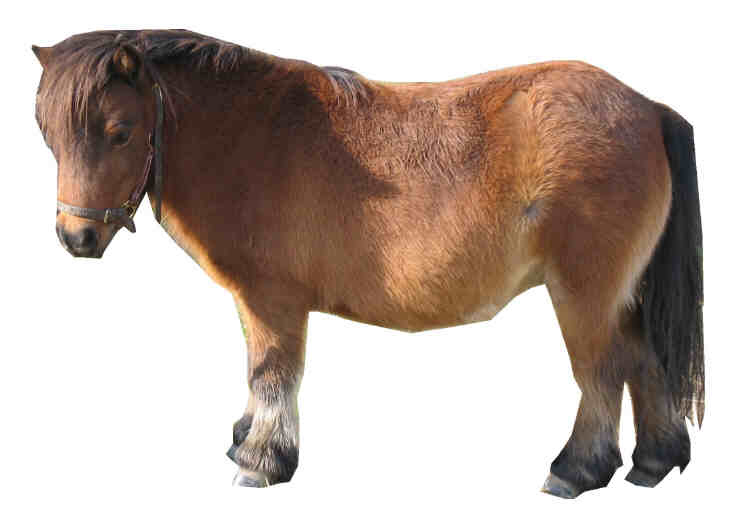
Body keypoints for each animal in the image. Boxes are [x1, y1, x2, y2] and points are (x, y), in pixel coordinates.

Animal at [32, 29, 704, 498]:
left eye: (120, 131)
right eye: (46, 132)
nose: (76, 236)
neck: (253, 135)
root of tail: (647, 108)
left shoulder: (274, 300)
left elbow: (273, 373)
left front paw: (262, 461)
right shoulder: (251, 301)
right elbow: (256, 371)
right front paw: (245, 440)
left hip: (584, 293)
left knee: (601, 373)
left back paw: (576, 470)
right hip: (624, 295)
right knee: (645, 361)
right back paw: (654, 463)